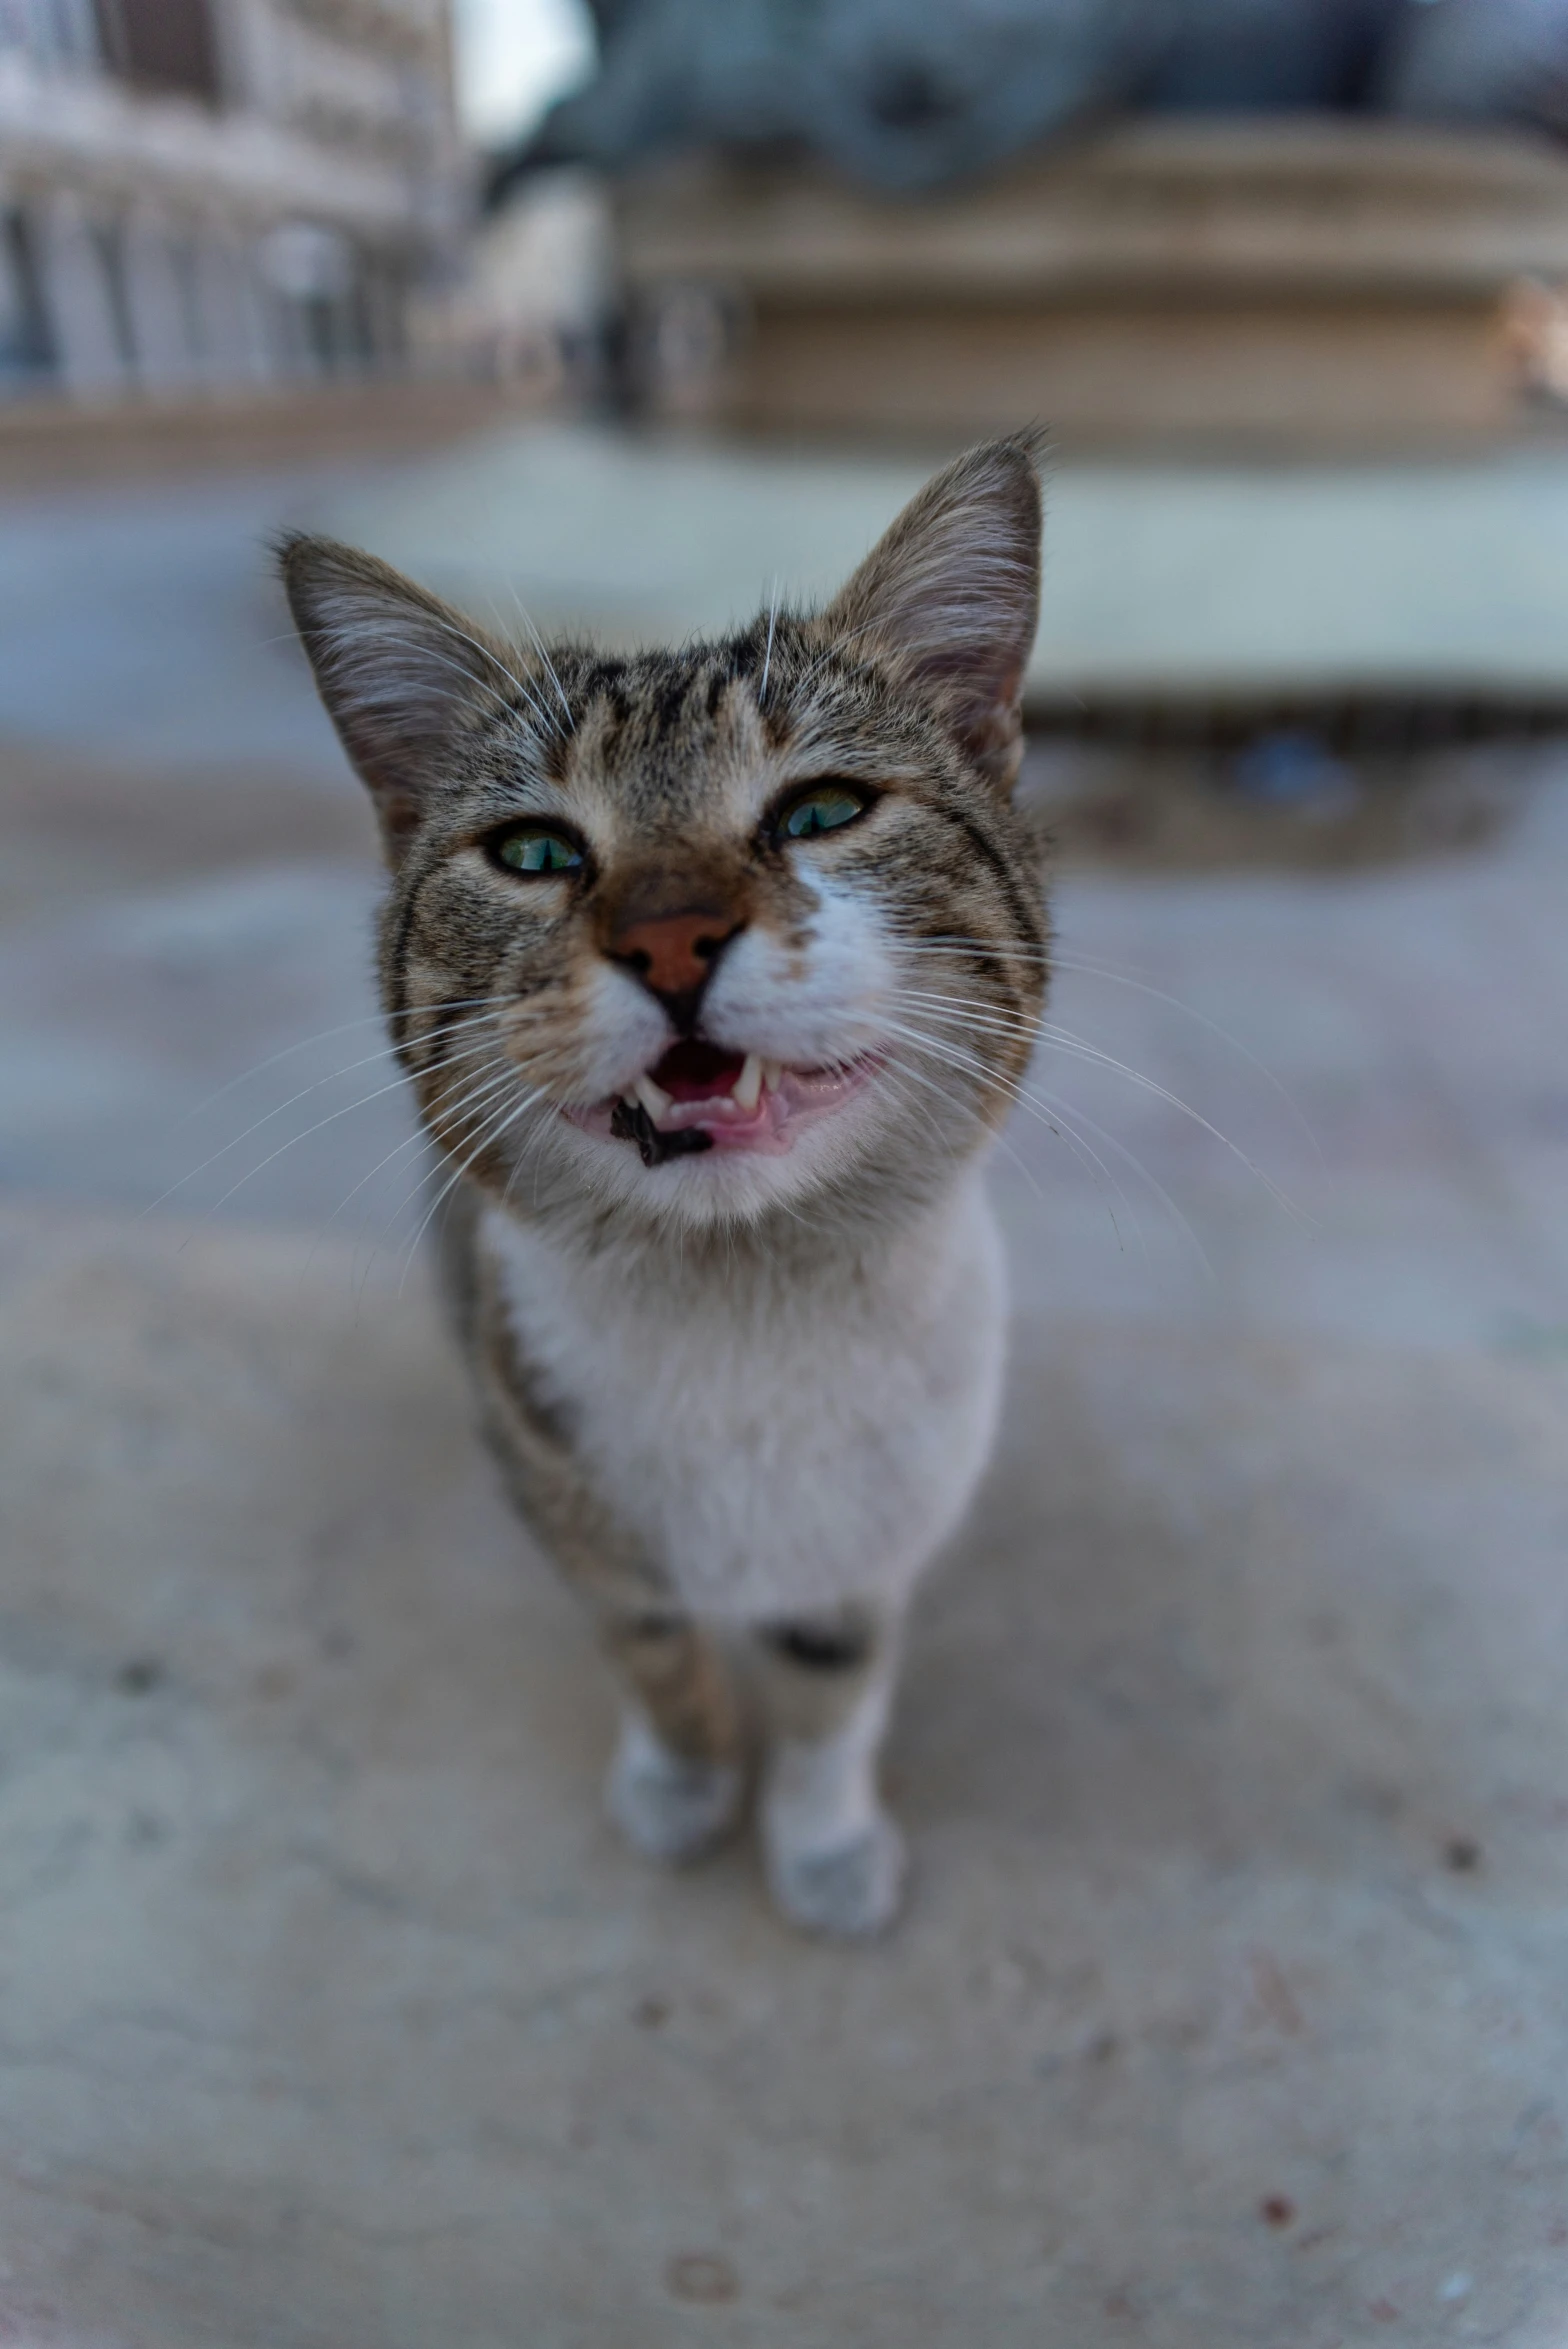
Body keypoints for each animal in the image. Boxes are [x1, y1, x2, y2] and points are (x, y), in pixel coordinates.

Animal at [278, 432, 1051, 1935]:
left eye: (822, 809)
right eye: (532, 850)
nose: (672, 934)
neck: (742, 1308)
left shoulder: (874, 1525)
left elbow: (831, 1682)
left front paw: (820, 1838)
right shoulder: (559, 1472)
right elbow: (647, 1647)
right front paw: (684, 1781)